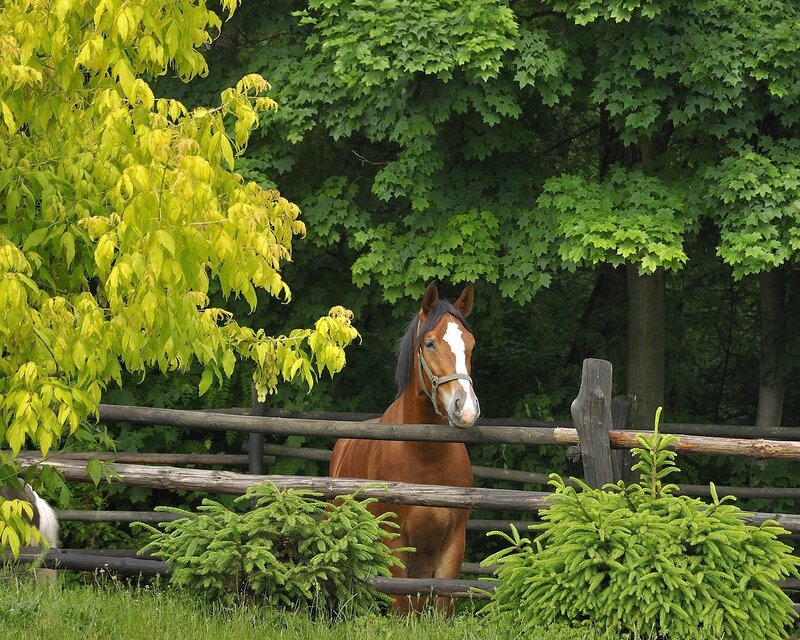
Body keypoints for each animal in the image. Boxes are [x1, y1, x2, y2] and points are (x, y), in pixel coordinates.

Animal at [329, 283, 480, 614]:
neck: (424, 455)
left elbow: (443, 604)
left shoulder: (453, 543)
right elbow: (399, 603)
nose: (465, 409)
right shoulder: (394, 541)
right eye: (430, 343)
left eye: (471, 345)